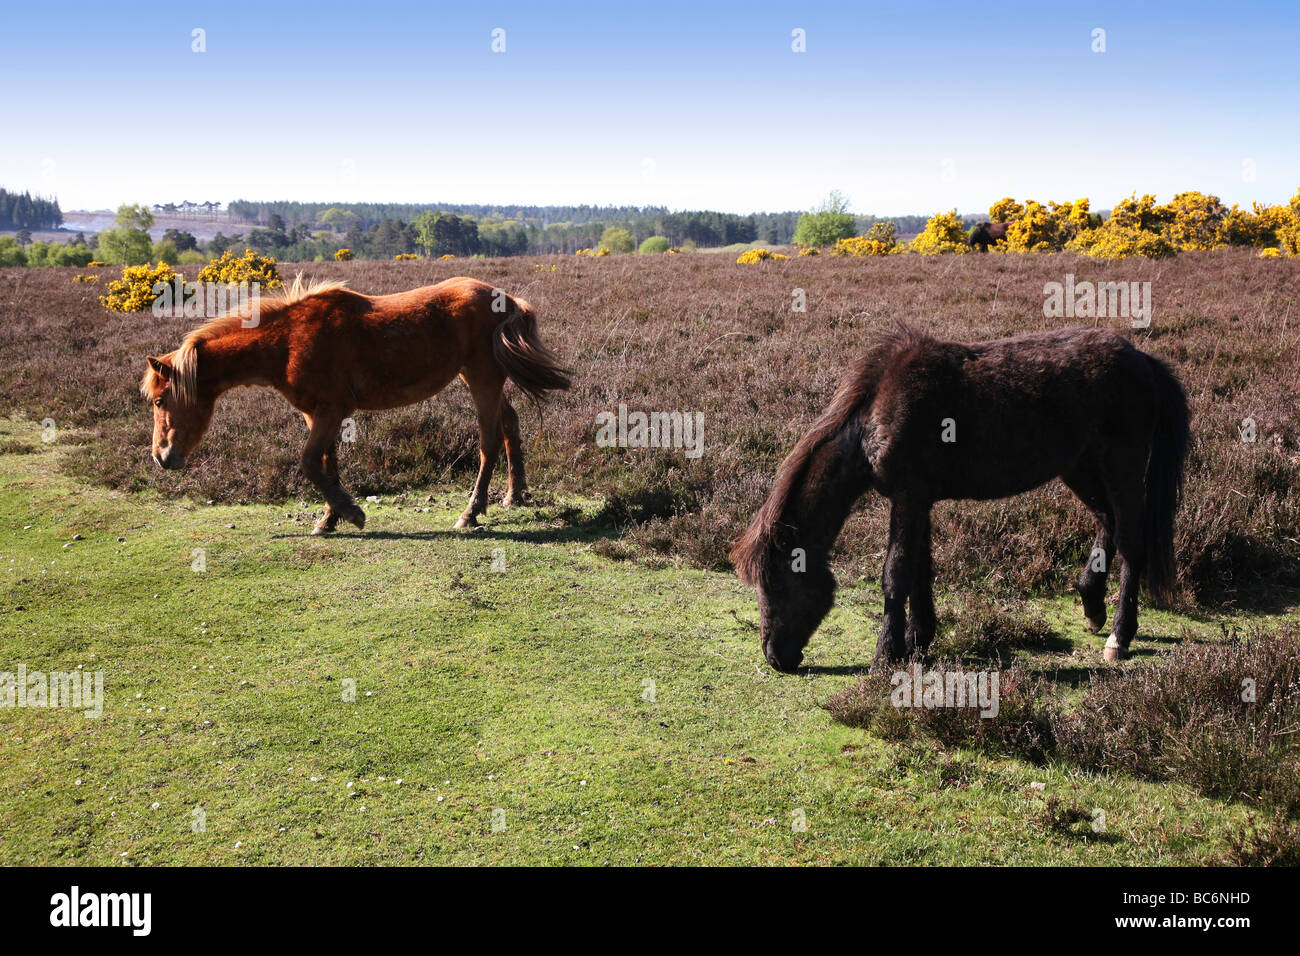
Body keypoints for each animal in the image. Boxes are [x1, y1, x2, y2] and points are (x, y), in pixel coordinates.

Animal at [140, 275, 571, 534]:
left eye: (160, 400)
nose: (162, 457)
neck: (286, 342)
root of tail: (507, 300)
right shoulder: (318, 414)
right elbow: (327, 464)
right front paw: (330, 518)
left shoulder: (330, 412)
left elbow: (309, 462)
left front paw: (351, 513)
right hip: (481, 379)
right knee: (510, 425)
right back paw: (515, 494)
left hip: (483, 379)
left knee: (489, 442)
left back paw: (471, 512)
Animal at [731, 324, 1189, 672]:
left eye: (776, 582)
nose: (774, 657)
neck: (877, 416)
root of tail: (1142, 359)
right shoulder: (919, 501)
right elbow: (921, 570)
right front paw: (917, 640)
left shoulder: (909, 498)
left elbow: (896, 573)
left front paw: (886, 654)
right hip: (1081, 468)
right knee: (1106, 522)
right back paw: (1092, 605)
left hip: (1121, 466)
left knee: (1131, 543)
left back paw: (1119, 635)